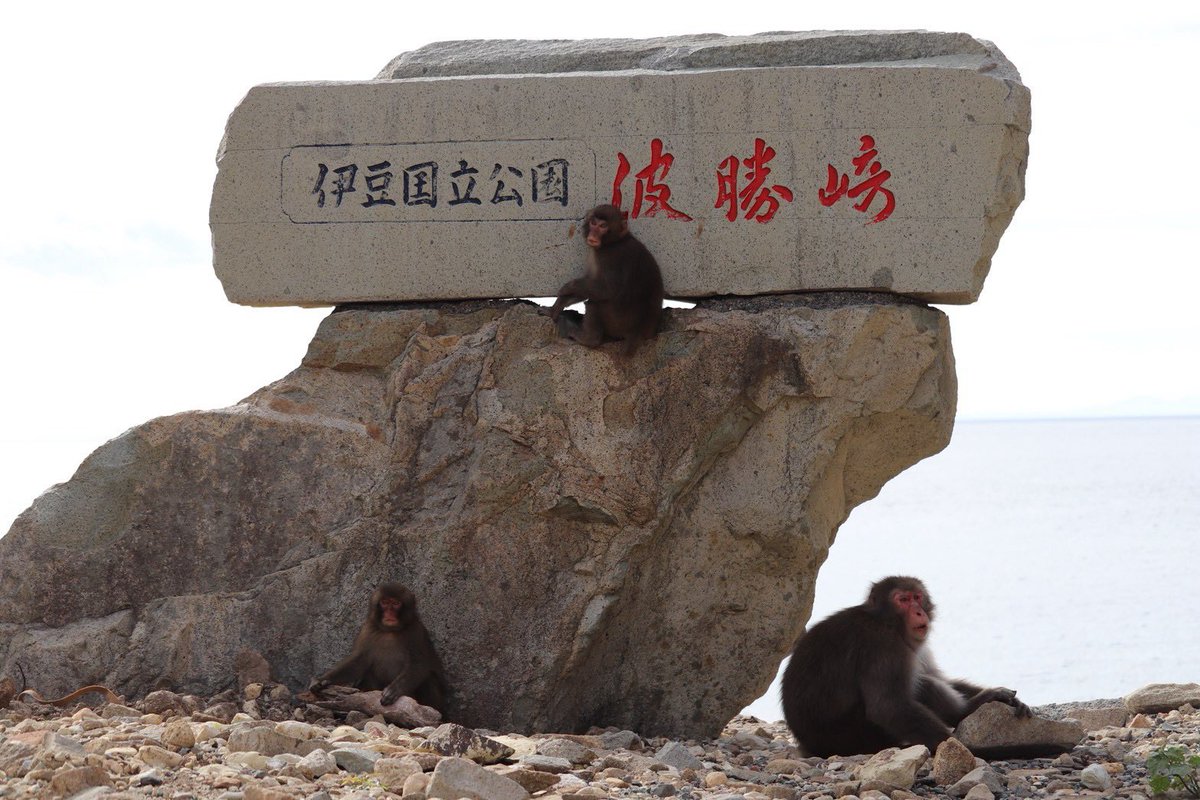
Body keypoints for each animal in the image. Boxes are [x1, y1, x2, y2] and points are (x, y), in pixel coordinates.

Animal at [309, 583, 447, 711]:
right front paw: (322, 679)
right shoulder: (367, 629)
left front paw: (394, 689)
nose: (389, 613)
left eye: (396, 603)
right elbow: (359, 660)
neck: (390, 631)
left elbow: (419, 664)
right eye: (384, 603)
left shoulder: (416, 631)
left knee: (429, 678)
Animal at [550, 204, 664, 355]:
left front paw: (567, 287)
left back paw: (589, 339)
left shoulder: (608, 257)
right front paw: (558, 304)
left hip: (618, 323)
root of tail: (637, 332)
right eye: (593, 223)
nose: (593, 235)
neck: (614, 241)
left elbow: (606, 289)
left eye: (603, 226)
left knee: (595, 303)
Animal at [781, 576, 1030, 757]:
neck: (886, 621)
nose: (919, 611)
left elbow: (938, 677)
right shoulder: (883, 644)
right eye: (903, 600)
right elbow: (887, 706)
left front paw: (998, 695)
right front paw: (956, 744)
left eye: (917, 597)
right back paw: (964, 712)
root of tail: (811, 746)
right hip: (857, 735)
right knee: (921, 685)